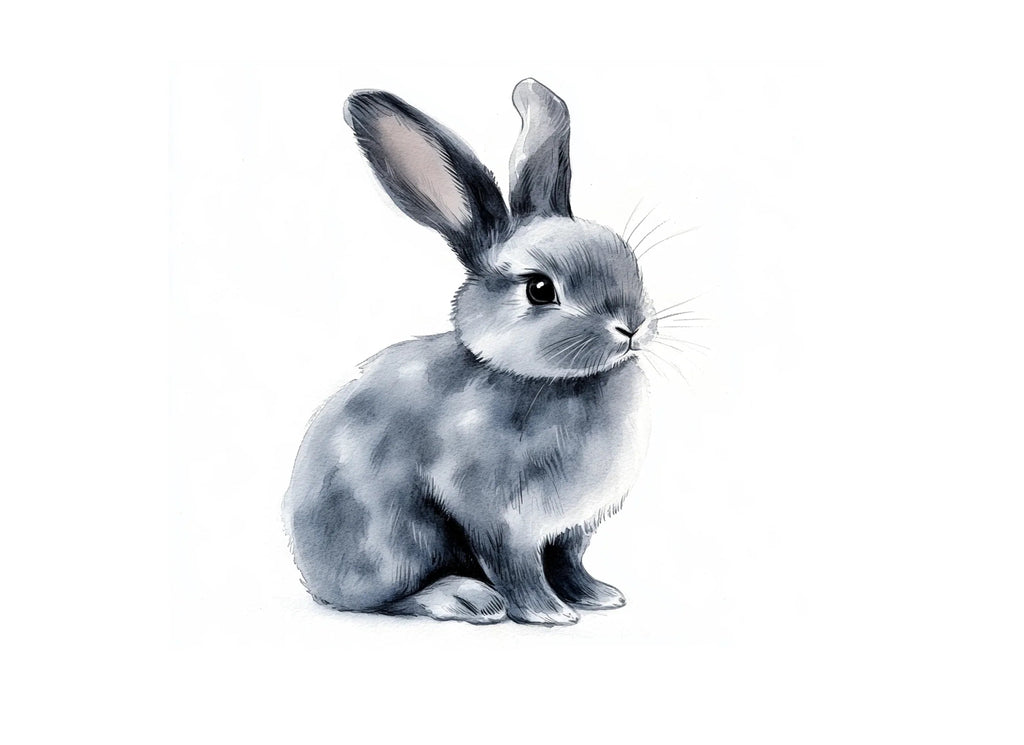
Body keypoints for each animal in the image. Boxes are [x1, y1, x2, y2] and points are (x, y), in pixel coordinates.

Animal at [283, 78, 660, 625]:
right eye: (540, 289)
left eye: (627, 260)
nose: (631, 326)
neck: (554, 382)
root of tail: (313, 576)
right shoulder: (498, 518)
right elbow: (518, 567)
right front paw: (548, 613)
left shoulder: (572, 530)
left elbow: (569, 562)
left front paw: (597, 596)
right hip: (393, 542)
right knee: (389, 600)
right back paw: (465, 598)